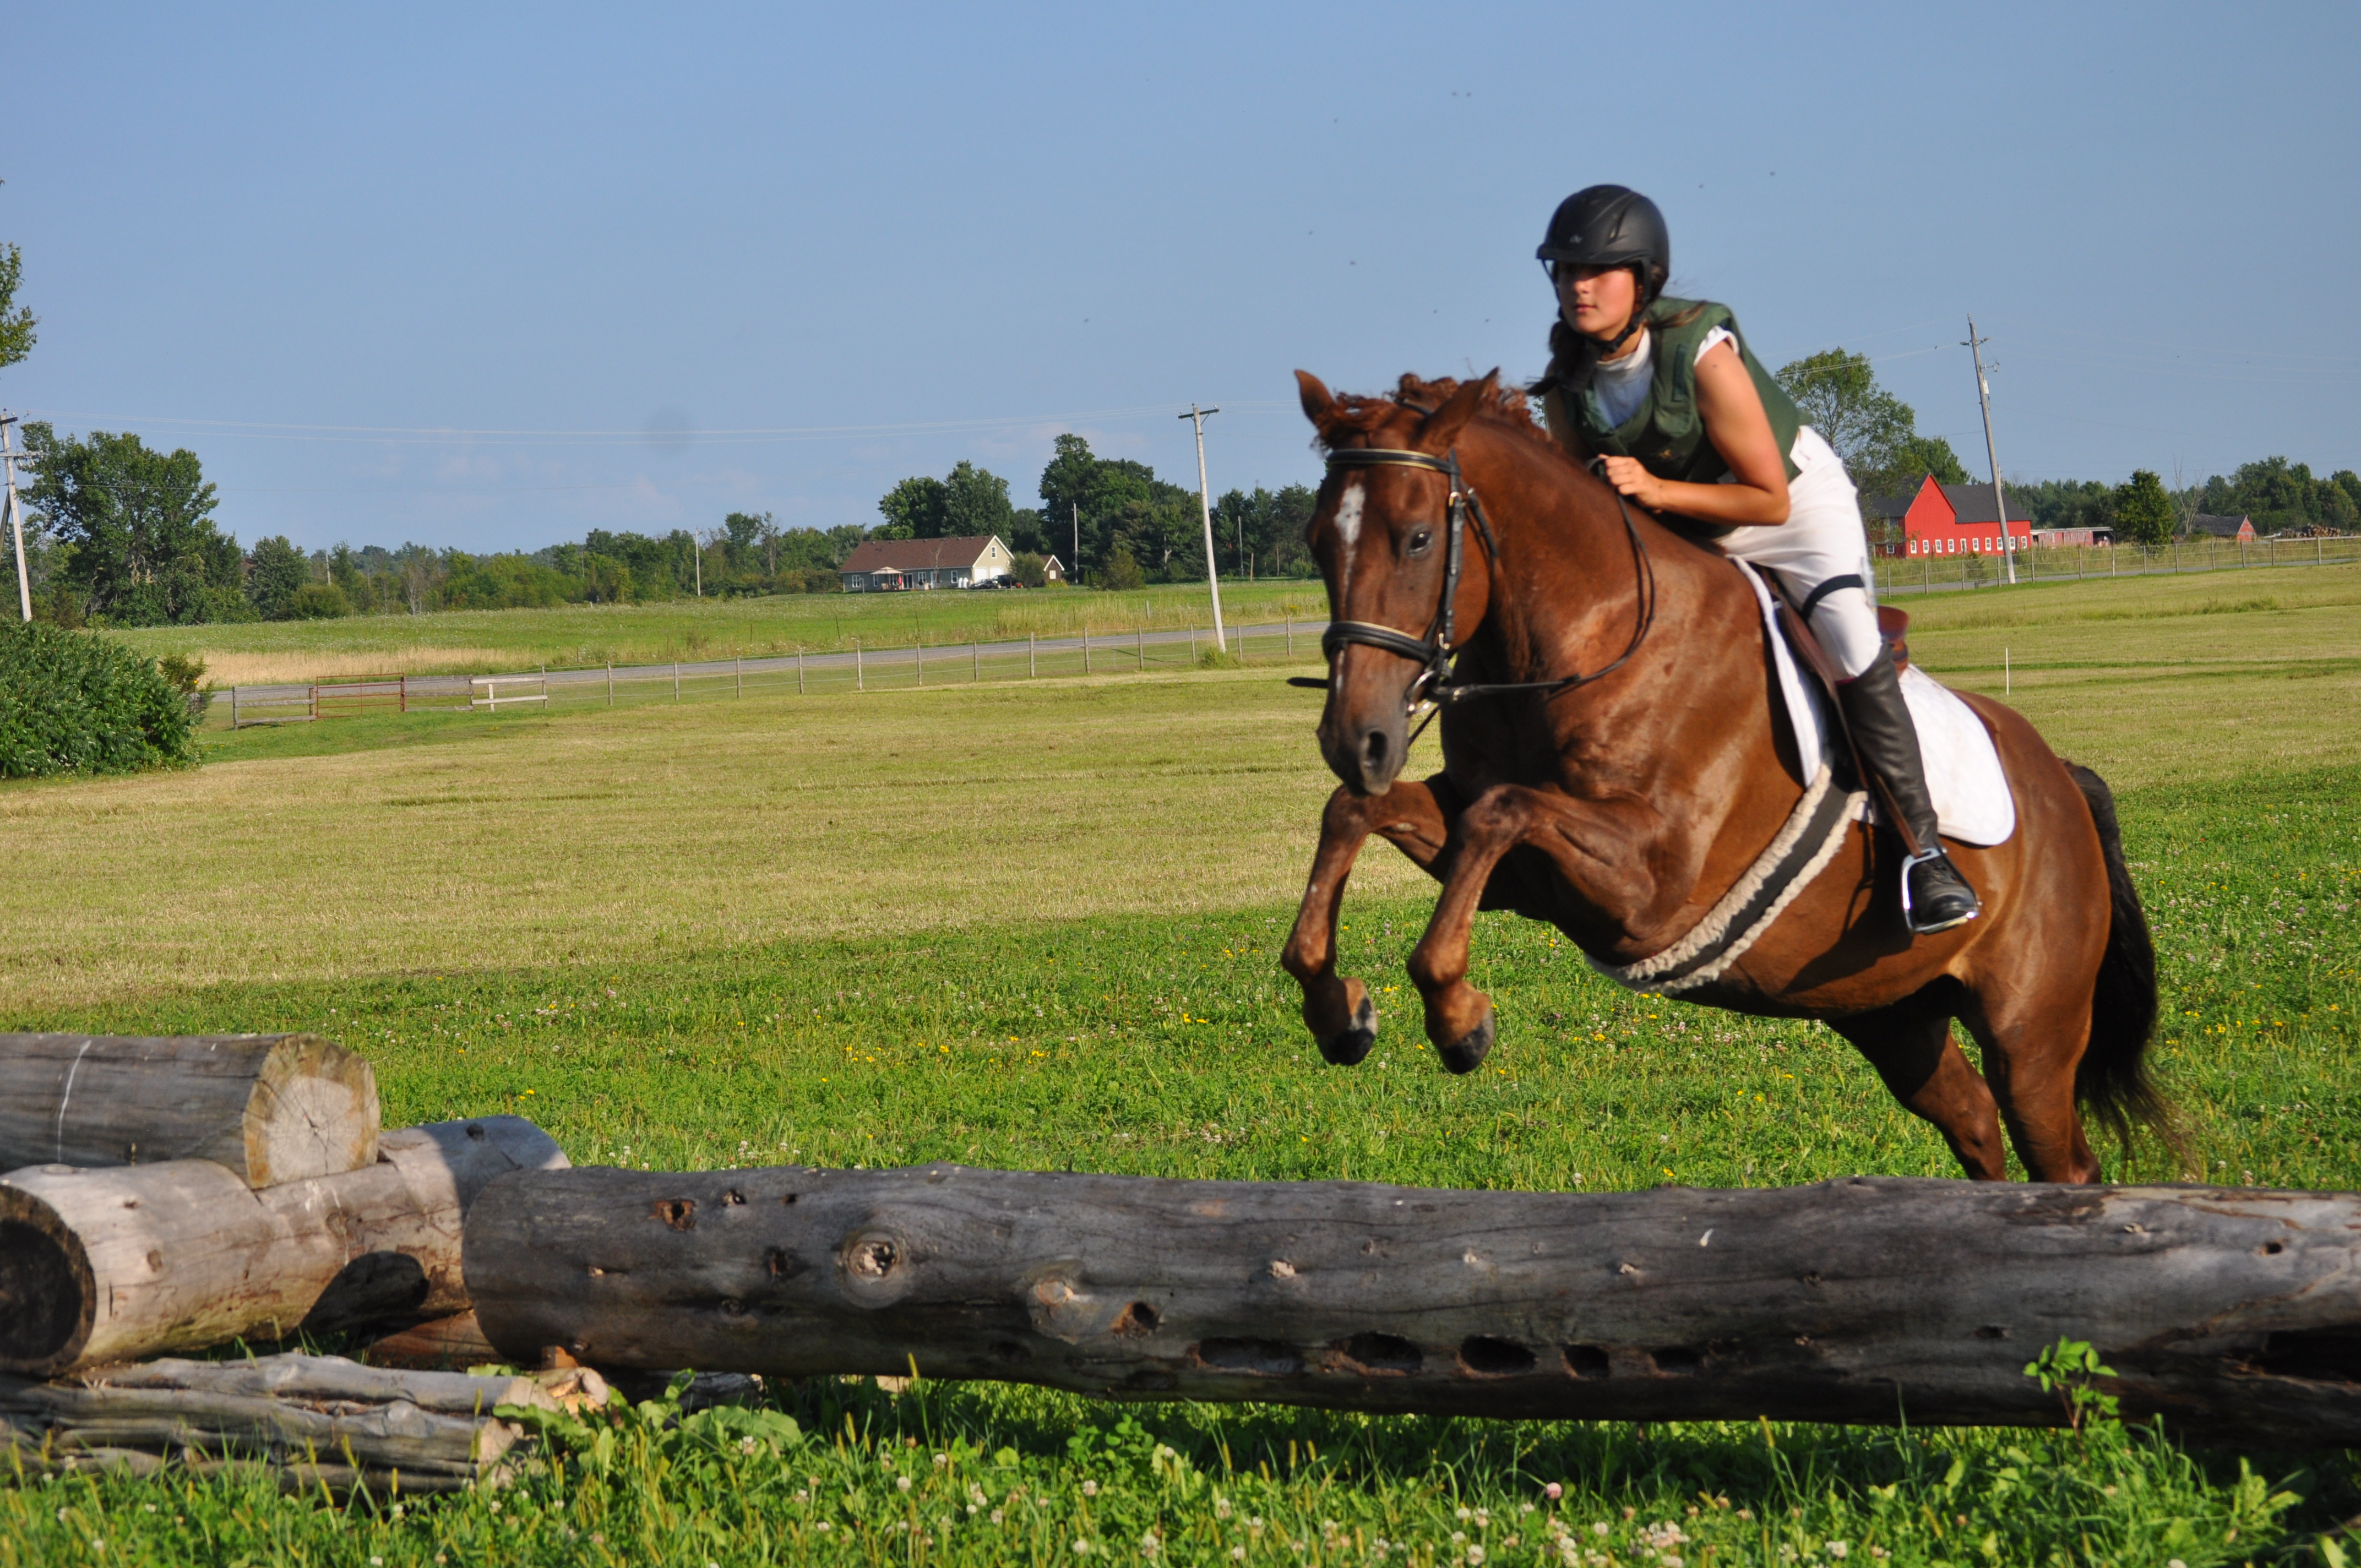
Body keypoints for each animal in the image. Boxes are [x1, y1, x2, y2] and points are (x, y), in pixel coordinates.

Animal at [1284, 368, 2162, 1180]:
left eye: (1417, 539)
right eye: (1318, 539)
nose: (1354, 738)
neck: (1580, 637)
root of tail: (2063, 783)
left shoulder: (1649, 887)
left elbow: (1498, 812)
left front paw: (1459, 1018)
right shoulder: (1523, 880)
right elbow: (1362, 812)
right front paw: (1337, 1010)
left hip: (2031, 1031)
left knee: (2059, 1155)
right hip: (1892, 1014)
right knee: (1975, 1124)